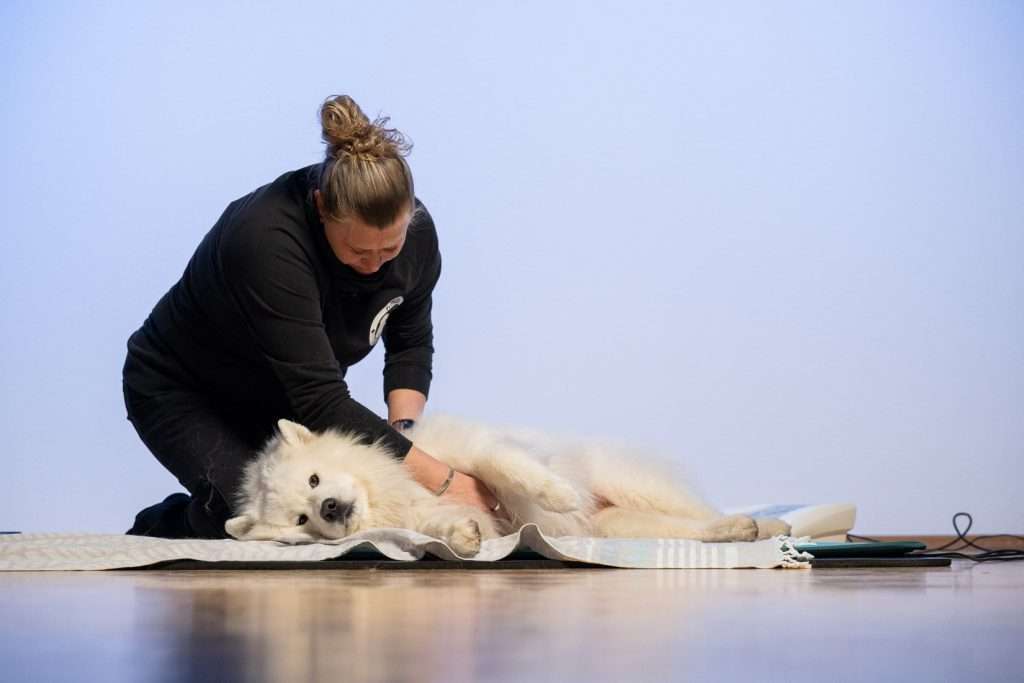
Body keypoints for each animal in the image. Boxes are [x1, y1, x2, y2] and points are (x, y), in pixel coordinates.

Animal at [224, 414, 791, 555]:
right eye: (302, 518)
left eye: (315, 478)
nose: (332, 508)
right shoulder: (421, 514)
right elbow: (441, 527)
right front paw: (464, 537)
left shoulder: (476, 452)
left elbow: (509, 470)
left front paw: (560, 494)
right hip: (622, 526)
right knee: (691, 529)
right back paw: (744, 531)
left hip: (634, 486)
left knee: (700, 512)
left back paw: (769, 528)